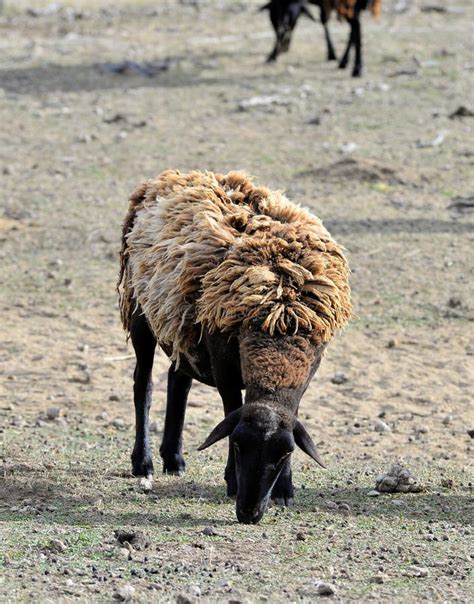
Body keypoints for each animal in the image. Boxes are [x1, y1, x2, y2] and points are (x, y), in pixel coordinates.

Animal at [116, 170, 350, 524]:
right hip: (140, 309)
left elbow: (291, 415)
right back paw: (144, 463)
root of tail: (170, 177)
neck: (277, 324)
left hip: (183, 326)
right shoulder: (223, 362)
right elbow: (230, 409)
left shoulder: (310, 364)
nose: (249, 513)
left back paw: (174, 458)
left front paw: (285, 490)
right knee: (143, 383)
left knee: (178, 379)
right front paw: (231, 481)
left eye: (285, 452)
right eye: (238, 444)